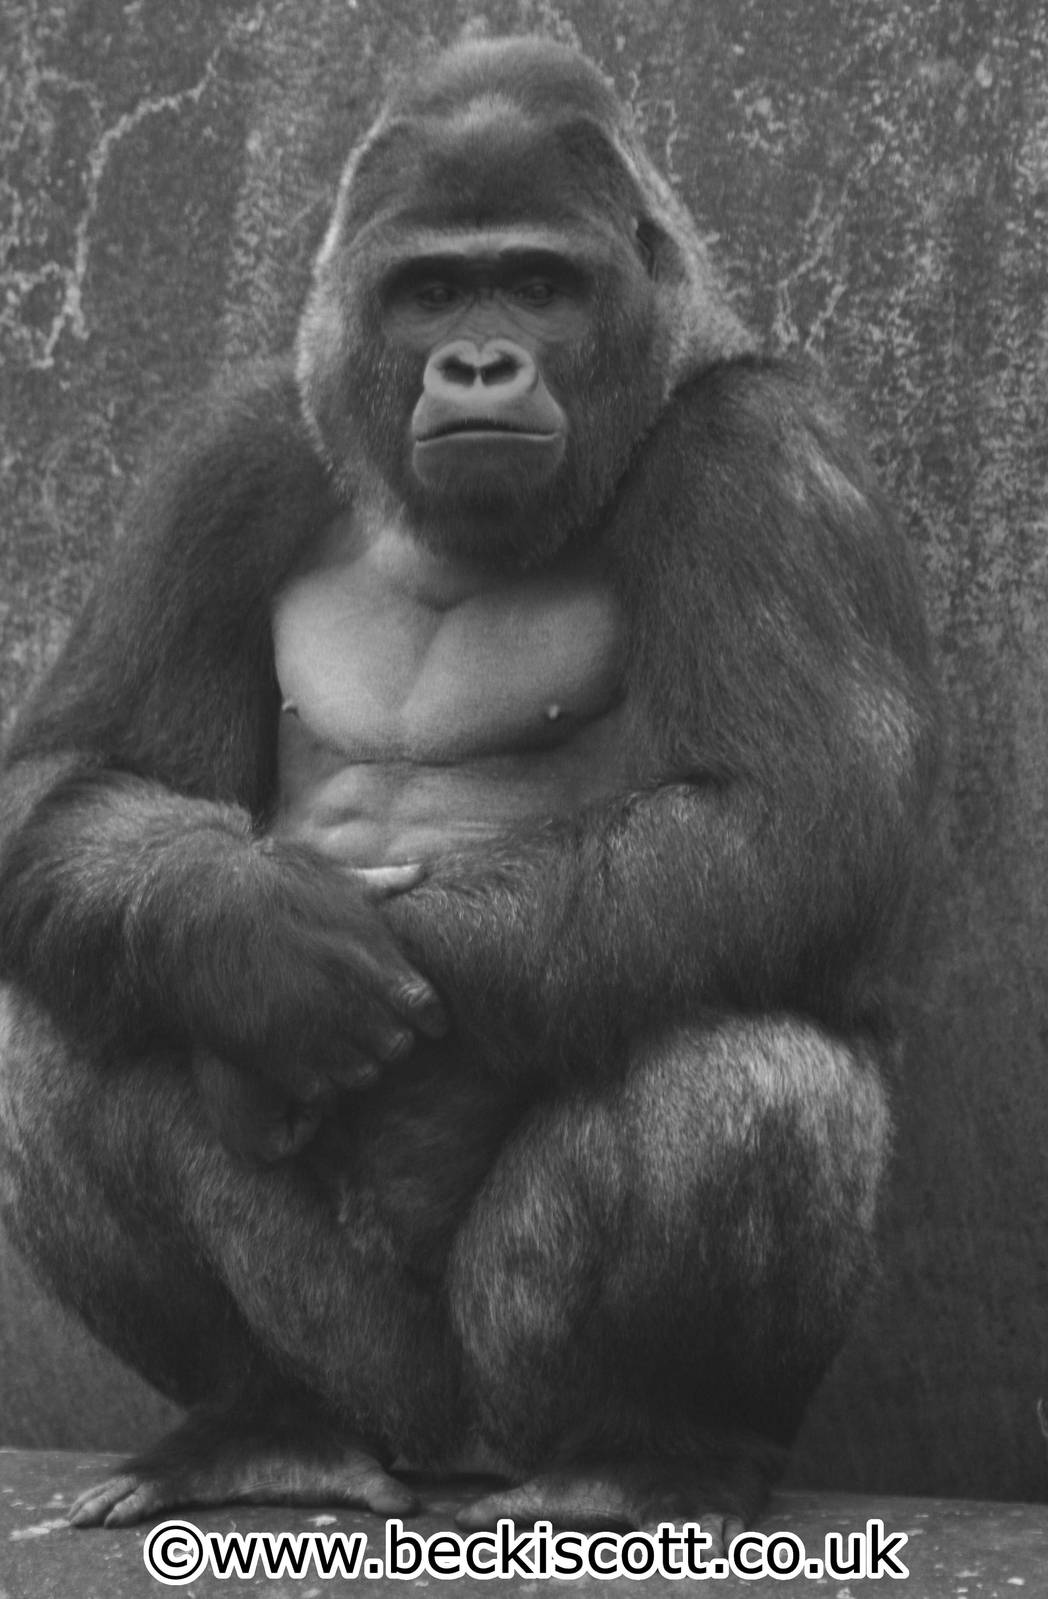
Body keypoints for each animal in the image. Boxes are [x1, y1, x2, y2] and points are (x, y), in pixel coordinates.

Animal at [0, 35, 940, 1550]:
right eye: (431, 290)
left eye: (540, 285)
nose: (481, 359)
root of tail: (448, 1457)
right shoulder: (229, 449)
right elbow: (73, 776)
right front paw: (255, 937)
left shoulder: (772, 452)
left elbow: (795, 822)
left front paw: (312, 969)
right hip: (370, 1374)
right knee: (66, 1022)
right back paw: (259, 1427)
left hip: (508, 1385)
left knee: (753, 1062)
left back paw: (651, 1447)